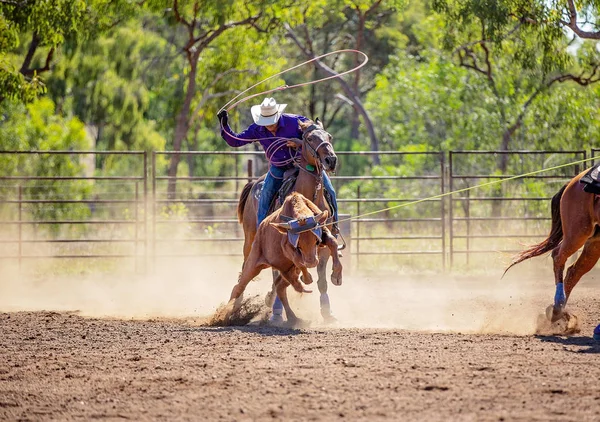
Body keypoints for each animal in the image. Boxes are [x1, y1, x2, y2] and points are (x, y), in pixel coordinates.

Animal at [226, 192, 340, 326]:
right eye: (298, 244)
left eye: (316, 241)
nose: (311, 262)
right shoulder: (287, 247)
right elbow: (298, 260)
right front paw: (307, 279)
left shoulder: (324, 232)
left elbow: (333, 242)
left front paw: (337, 275)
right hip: (254, 263)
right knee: (239, 287)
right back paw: (225, 314)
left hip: (286, 269)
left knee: (280, 288)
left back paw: (293, 316)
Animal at [238, 118, 342, 324]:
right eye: (309, 138)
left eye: (329, 136)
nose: (331, 160)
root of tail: (254, 183)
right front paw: (278, 313)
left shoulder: (322, 245)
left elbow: (322, 281)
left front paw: (328, 311)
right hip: (250, 239)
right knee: (247, 269)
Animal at [504, 163, 600, 334]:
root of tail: (572, 182)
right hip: (578, 232)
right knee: (558, 256)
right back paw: (558, 306)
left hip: (594, 241)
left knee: (574, 271)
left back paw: (558, 311)